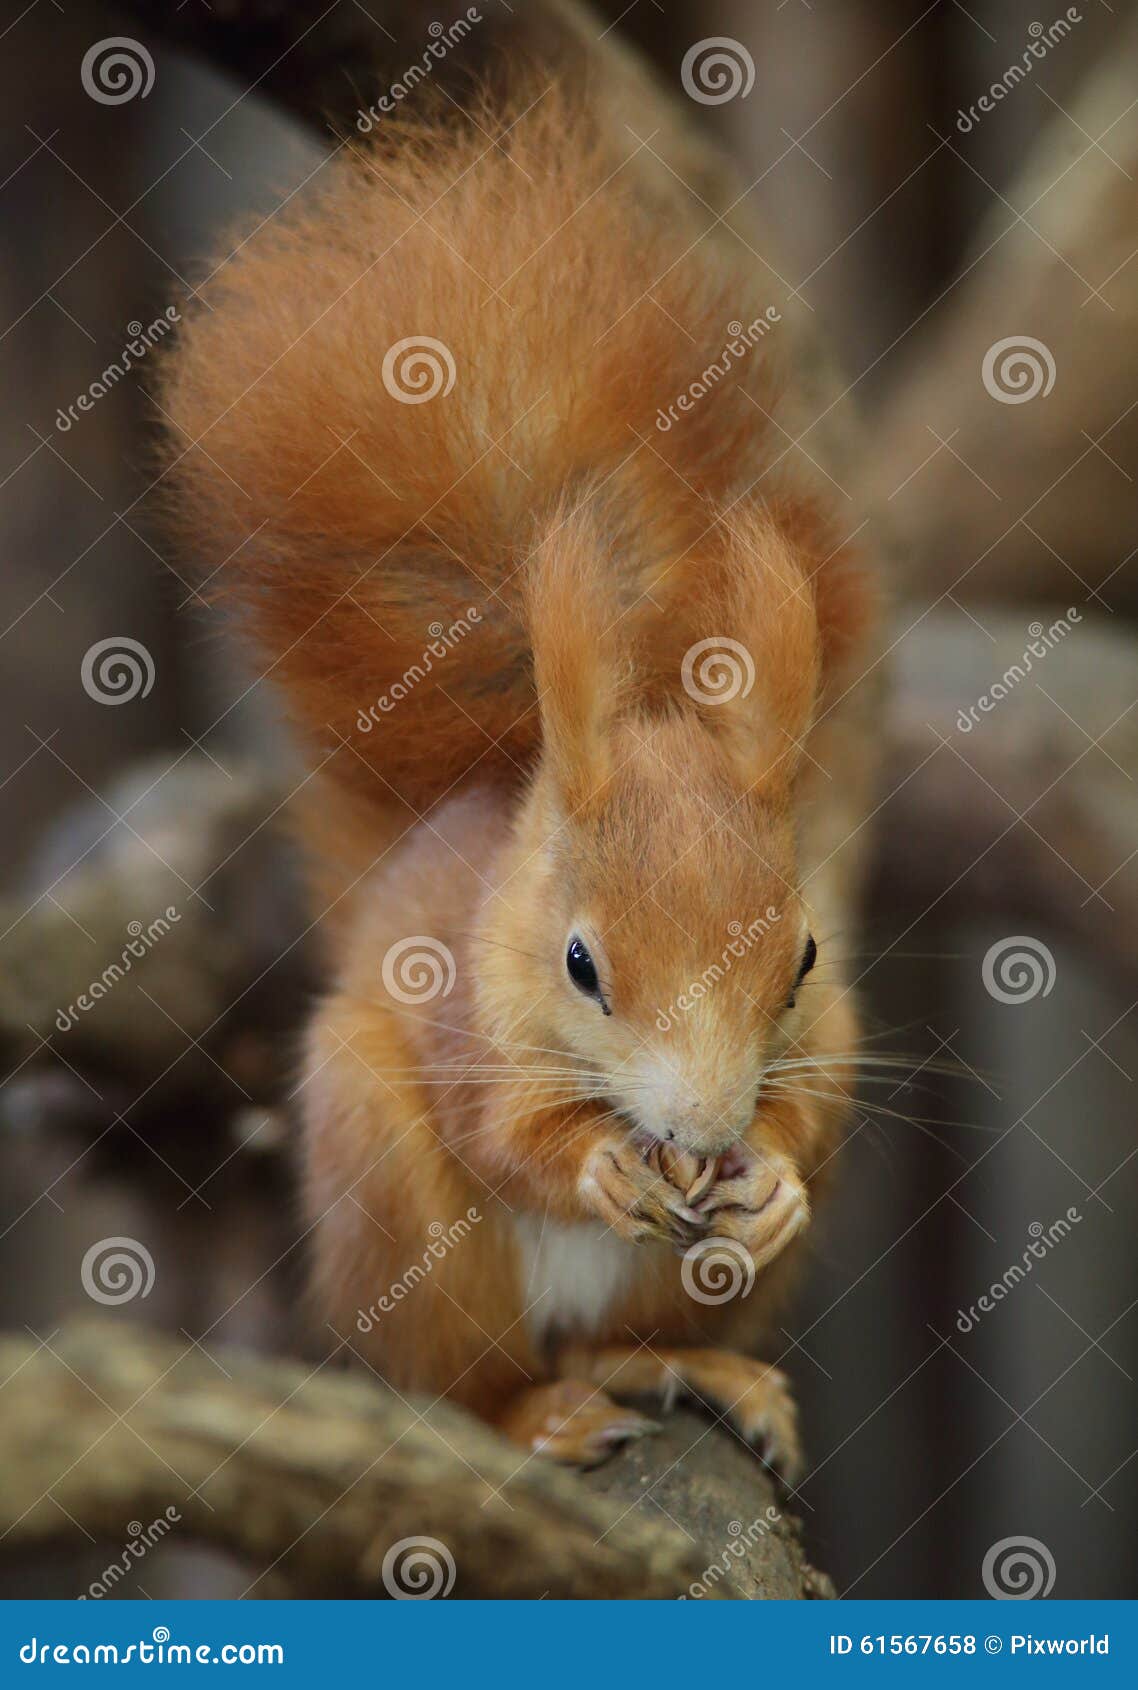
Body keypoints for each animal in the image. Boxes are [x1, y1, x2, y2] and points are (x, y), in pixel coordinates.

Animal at [162, 29, 879, 1480]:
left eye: (802, 957)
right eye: (579, 964)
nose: (702, 1133)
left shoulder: (829, 1026)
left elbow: (815, 1100)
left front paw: (767, 1172)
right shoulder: (460, 1008)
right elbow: (501, 1133)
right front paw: (596, 1165)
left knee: (620, 1339)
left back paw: (690, 1361)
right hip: (394, 1200)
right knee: (465, 1377)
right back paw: (536, 1412)